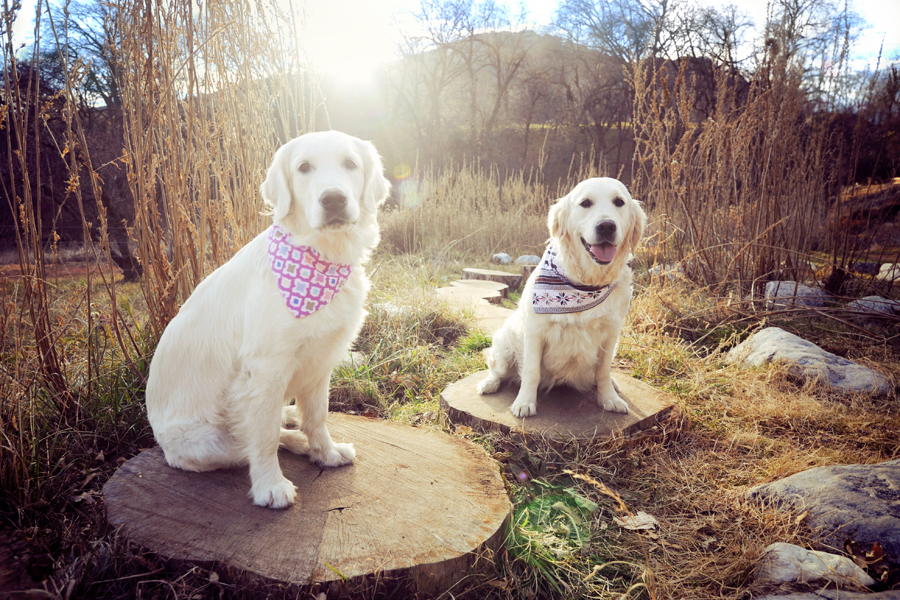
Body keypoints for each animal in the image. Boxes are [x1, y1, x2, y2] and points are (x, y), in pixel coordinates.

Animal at [146, 130, 388, 506]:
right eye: (304, 168)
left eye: (351, 163)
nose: (333, 199)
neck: (322, 256)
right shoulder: (265, 368)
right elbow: (263, 438)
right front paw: (270, 485)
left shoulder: (322, 359)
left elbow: (318, 415)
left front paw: (327, 452)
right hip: (205, 441)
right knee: (250, 440)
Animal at [478, 178, 648, 418]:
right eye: (585, 203)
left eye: (619, 202)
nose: (606, 226)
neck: (586, 283)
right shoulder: (535, 331)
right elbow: (531, 371)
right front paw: (525, 402)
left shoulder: (611, 332)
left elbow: (603, 371)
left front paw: (609, 398)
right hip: (504, 345)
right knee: (497, 369)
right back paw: (489, 383)